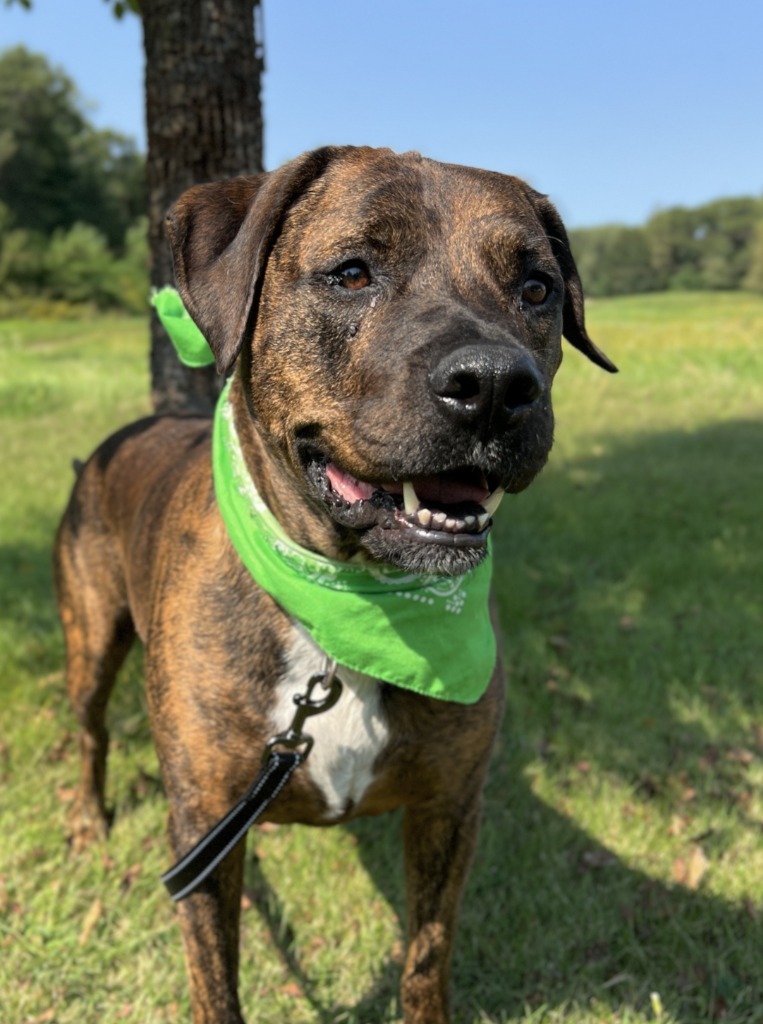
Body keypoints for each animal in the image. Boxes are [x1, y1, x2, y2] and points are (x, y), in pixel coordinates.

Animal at [53, 146, 614, 1024]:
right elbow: (216, 986)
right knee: (90, 732)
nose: (495, 385)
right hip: (90, 639)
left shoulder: (448, 807)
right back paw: (87, 820)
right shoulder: (202, 829)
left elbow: (425, 961)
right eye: (351, 273)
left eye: (536, 287)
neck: (344, 603)